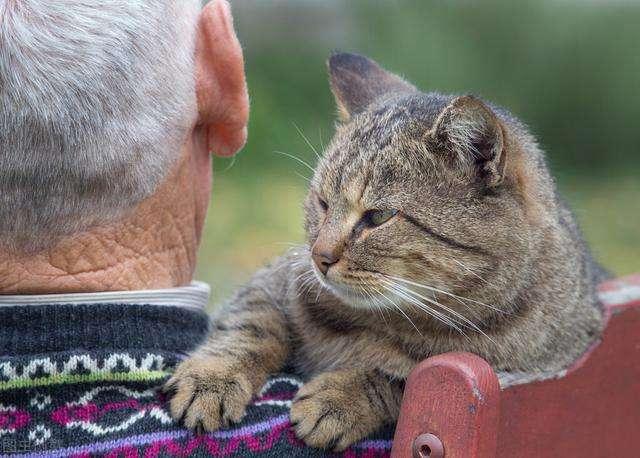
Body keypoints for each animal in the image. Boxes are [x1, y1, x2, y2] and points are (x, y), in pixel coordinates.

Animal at [165, 52, 604, 450]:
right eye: (323, 203)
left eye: (378, 217)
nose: (319, 257)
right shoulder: (274, 279)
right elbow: (250, 325)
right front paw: (211, 378)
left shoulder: (509, 371)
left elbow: (399, 377)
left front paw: (340, 397)